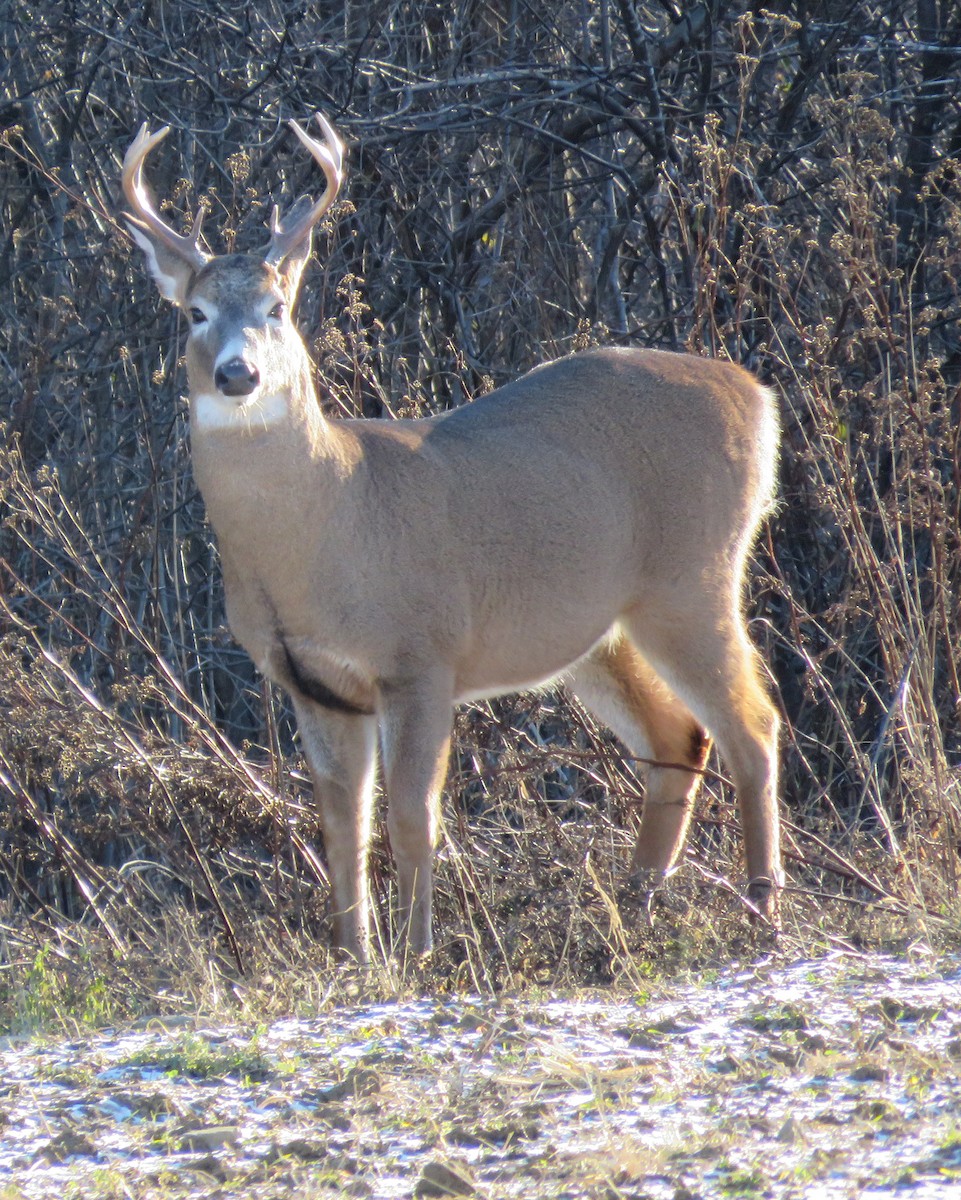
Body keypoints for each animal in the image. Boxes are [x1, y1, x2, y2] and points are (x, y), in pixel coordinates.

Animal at [122, 112, 784, 963]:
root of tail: (757, 395)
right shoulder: (311, 682)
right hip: (599, 629)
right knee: (678, 737)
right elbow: (341, 824)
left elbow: (412, 814)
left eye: (276, 308)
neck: (328, 525)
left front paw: (416, 952)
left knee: (752, 726)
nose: (238, 375)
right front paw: (354, 954)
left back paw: (759, 908)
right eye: (195, 314)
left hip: (692, 578)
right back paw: (634, 907)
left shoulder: (420, 653)